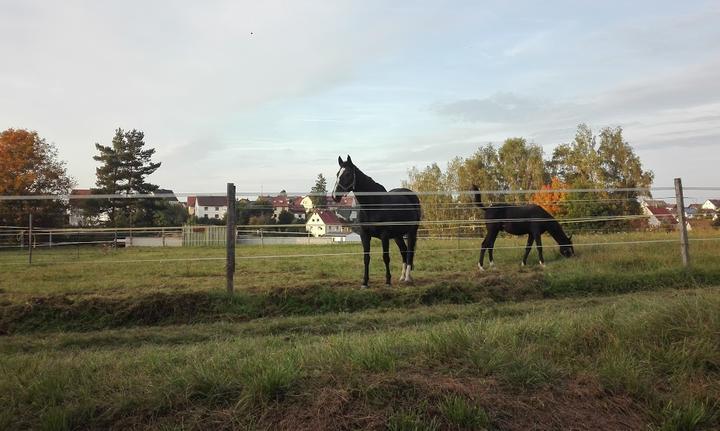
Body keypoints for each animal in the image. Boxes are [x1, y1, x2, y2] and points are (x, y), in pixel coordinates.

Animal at [332, 155, 422, 286]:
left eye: (348, 174)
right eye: (338, 173)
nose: (335, 196)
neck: (373, 204)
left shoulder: (384, 235)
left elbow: (386, 257)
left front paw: (388, 281)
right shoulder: (364, 235)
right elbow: (366, 258)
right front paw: (365, 282)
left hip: (412, 231)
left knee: (410, 251)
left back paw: (407, 277)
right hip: (398, 235)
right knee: (404, 251)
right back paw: (402, 276)